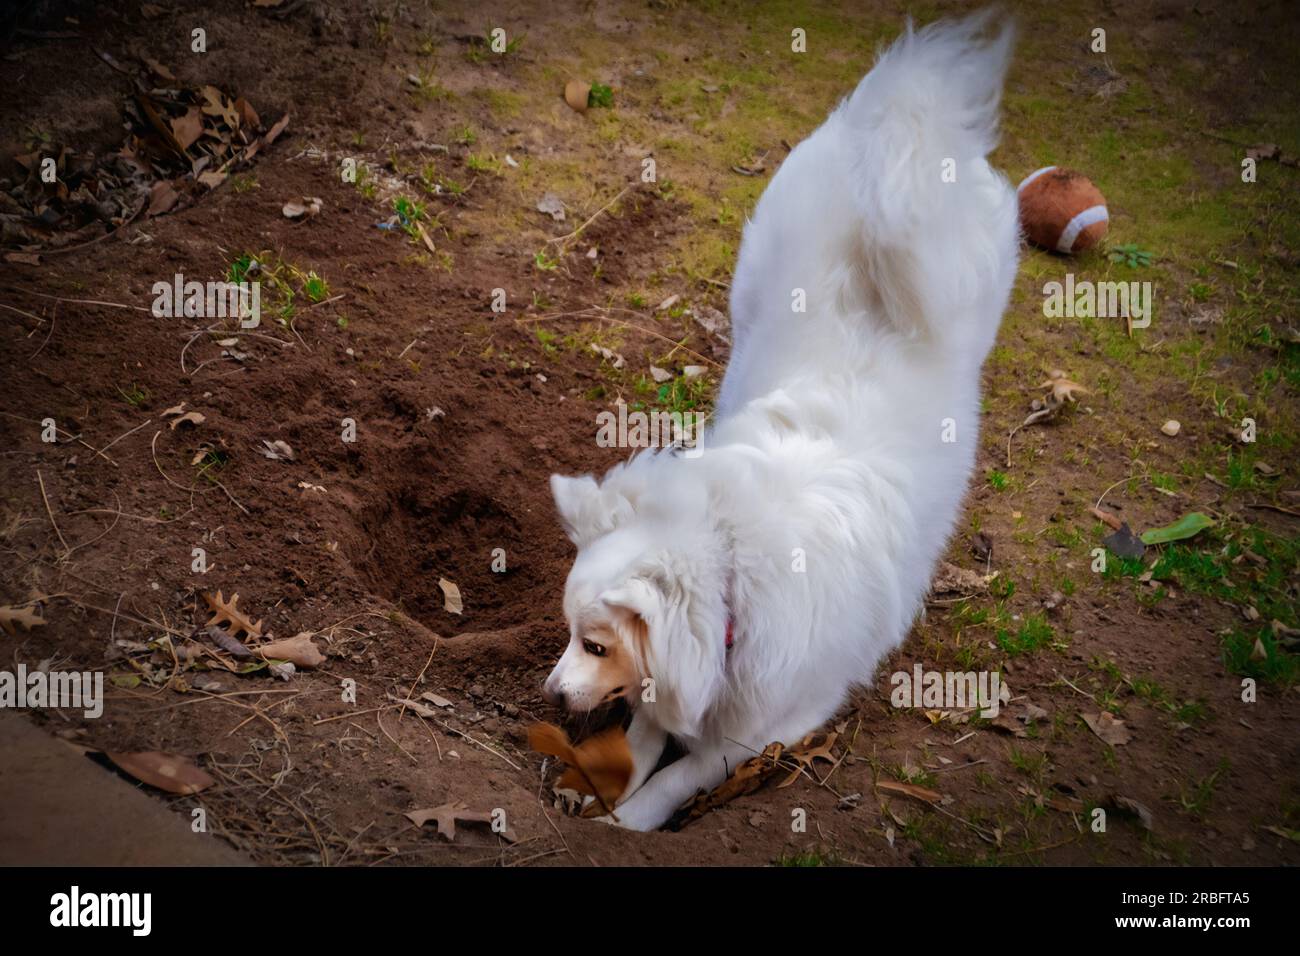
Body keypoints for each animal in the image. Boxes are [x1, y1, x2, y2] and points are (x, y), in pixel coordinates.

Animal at [543, 11, 1019, 832]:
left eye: (595, 646)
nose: (549, 693)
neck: (730, 570)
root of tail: (899, 130)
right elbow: (645, 737)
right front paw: (610, 785)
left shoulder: (763, 728)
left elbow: (677, 774)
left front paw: (626, 823)